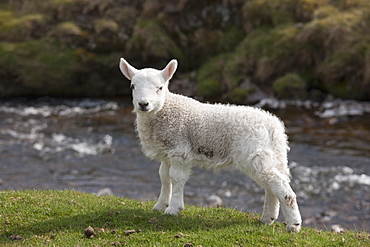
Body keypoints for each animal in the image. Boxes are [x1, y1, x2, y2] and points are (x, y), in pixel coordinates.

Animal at [120, 58, 302, 232]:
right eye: (132, 86)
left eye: (160, 88)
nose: (143, 104)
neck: (164, 110)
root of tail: (274, 126)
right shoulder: (167, 152)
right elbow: (164, 177)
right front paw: (160, 205)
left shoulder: (180, 150)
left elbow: (176, 178)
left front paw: (173, 209)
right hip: (272, 155)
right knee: (271, 183)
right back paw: (267, 218)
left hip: (255, 153)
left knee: (278, 184)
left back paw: (293, 224)